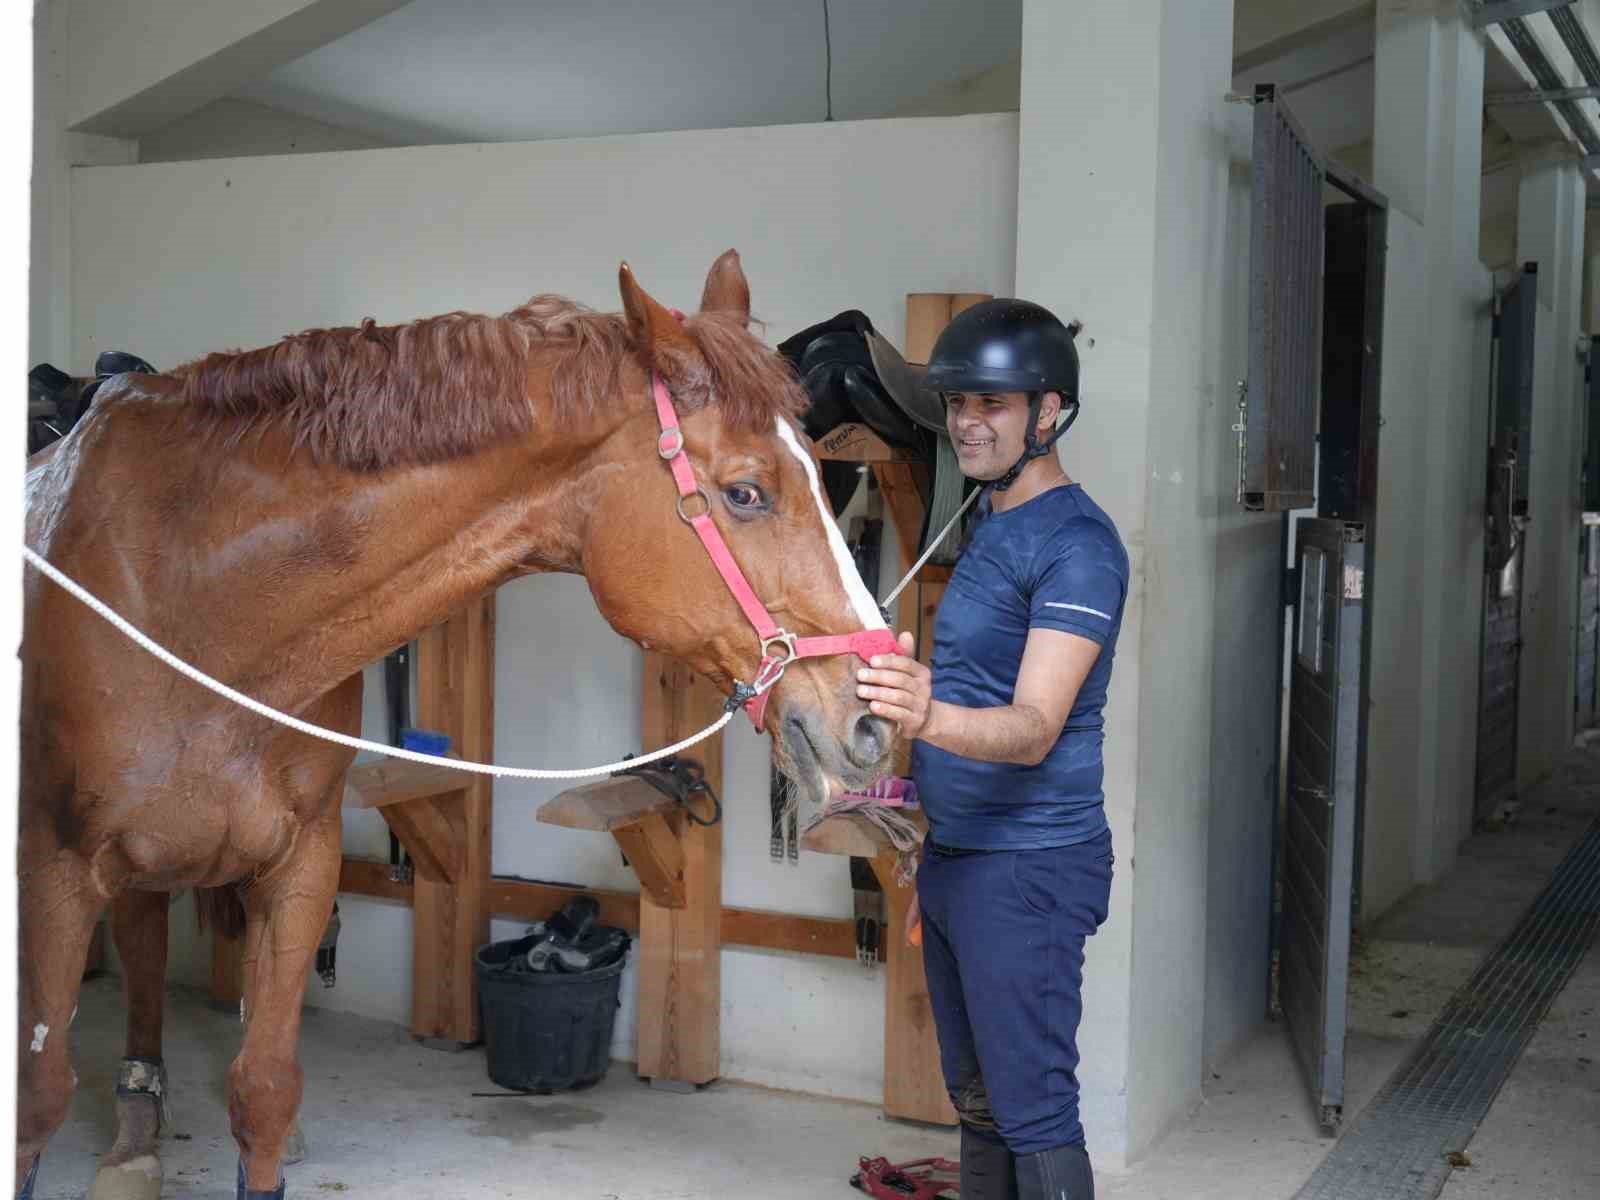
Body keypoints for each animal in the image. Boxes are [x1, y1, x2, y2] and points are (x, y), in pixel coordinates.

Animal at [18, 254, 902, 1200]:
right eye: (745, 492)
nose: (872, 716)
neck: (197, 600)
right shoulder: (54, 874)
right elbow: (38, 1098)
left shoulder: (300, 867)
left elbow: (264, 1090)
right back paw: (132, 1140)